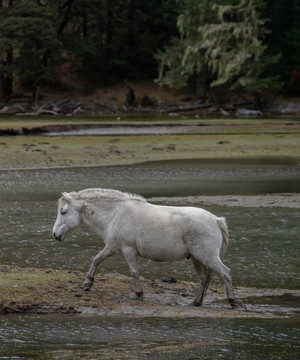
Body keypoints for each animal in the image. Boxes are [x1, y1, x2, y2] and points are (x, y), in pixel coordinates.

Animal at [52, 188, 246, 310]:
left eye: (63, 212)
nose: (55, 234)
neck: (116, 214)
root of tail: (216, 220)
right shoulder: (112, 248)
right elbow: (96, 259)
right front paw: (87, 283)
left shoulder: (128, 251)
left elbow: (134, 272)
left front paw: (138, 294)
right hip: (198, 259)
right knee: (204, 278)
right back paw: (195, 302)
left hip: (207, 257)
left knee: (225, 273)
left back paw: (233, 301)